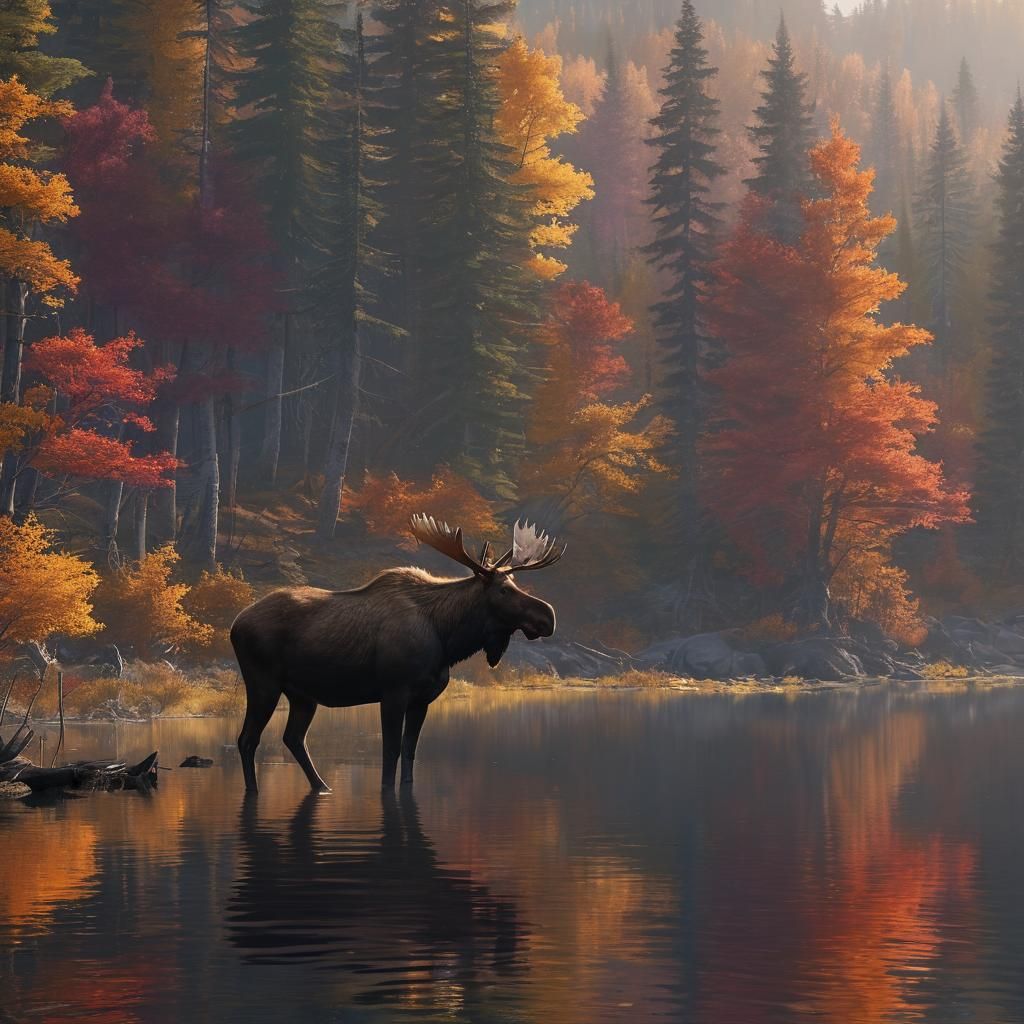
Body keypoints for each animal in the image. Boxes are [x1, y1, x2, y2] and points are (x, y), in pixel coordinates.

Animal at [230, 516, 565, 795]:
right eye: (503, 590)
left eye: (514, 583)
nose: (548, 616)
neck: (447, 637)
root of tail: (235, 624)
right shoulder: (393, 692)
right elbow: (390, 751)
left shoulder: (422, 698)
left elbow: (409, 750)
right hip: (263, 683)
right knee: (247, 739)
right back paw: (254, 791)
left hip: (303, 695)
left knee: (293, 738)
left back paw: (322, 786)